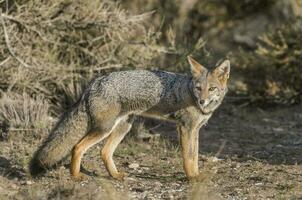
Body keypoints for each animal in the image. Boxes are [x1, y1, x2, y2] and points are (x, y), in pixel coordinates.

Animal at [29, 56, 230, 181]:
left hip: (122, 127)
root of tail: (95, 82)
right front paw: (191, 178)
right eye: (198, 88)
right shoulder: (185, 128)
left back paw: (115, 176)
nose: (202, 100)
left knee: (104, 152)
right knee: (77, 147)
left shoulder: (195, 130)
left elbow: (194, 156)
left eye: (211, 89)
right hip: (105, 129)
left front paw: (197, 176)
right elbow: (188, 158)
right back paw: (76, 176)